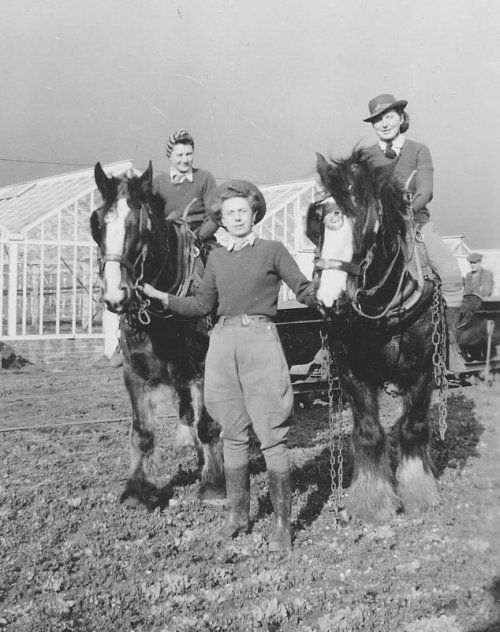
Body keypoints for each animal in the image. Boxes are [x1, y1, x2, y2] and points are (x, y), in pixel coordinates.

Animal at [91, 163, 224, 508]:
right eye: (96, 224)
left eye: (142, 228)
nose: (116, 296)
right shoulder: (134, 371)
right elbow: (143, 430)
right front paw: (139, 489)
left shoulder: (206, 367)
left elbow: (208, 424)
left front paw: (214, 484)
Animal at [304, 152, 442, 524]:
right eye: (316, 221)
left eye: (367, 223)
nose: (329, 301)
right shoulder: (353, 372)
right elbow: (368, 432)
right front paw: (372, 500)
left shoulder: (423, 368)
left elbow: (413, 426)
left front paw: (418, 492)